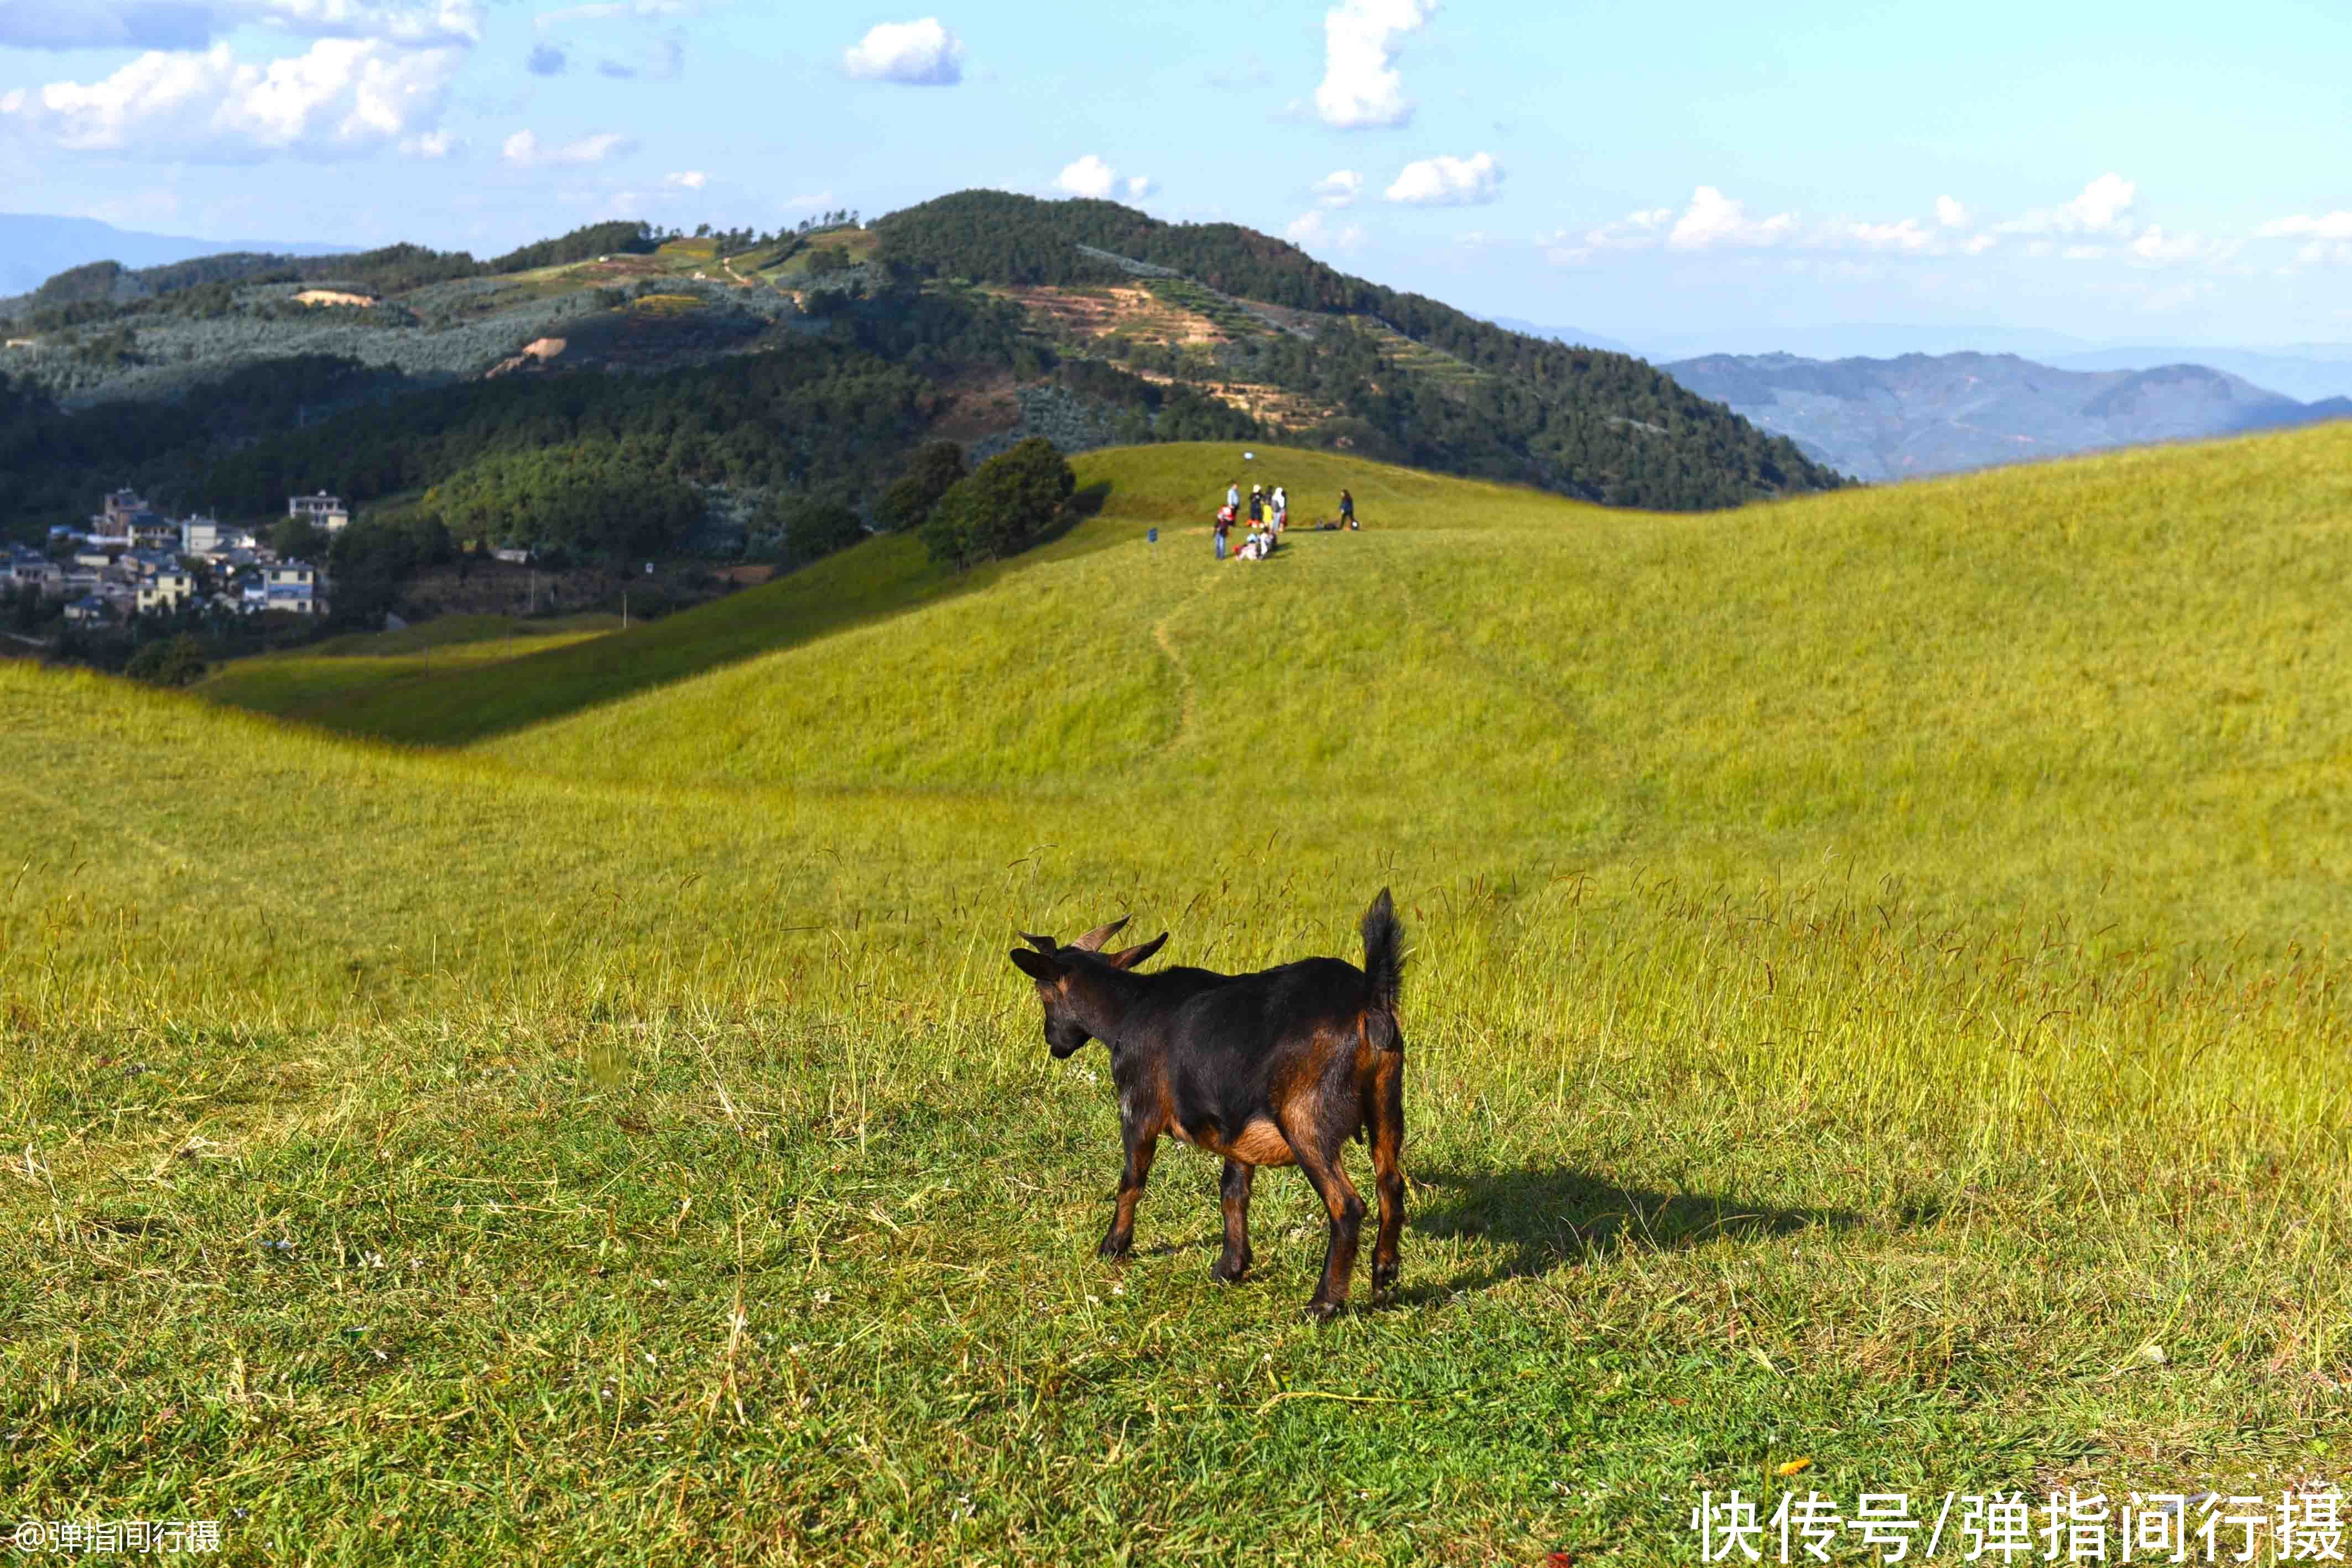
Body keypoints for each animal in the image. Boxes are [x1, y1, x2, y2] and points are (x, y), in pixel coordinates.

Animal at [1016, 888, 1411, 1316]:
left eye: (1042, 991)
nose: (1054, 1043)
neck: (1127, 1011)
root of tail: (1370, 1001)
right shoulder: (1235, 1120)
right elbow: (1233, 1191)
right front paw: (1231, 1267)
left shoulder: (1138, 1109)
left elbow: (1132, 1181)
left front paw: (1113, 1247)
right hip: (1387, 1100)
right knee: (1391, 1184)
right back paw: (1384, 1273)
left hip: (1307, 1120)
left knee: (1347, 1204)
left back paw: (1323, 1302)